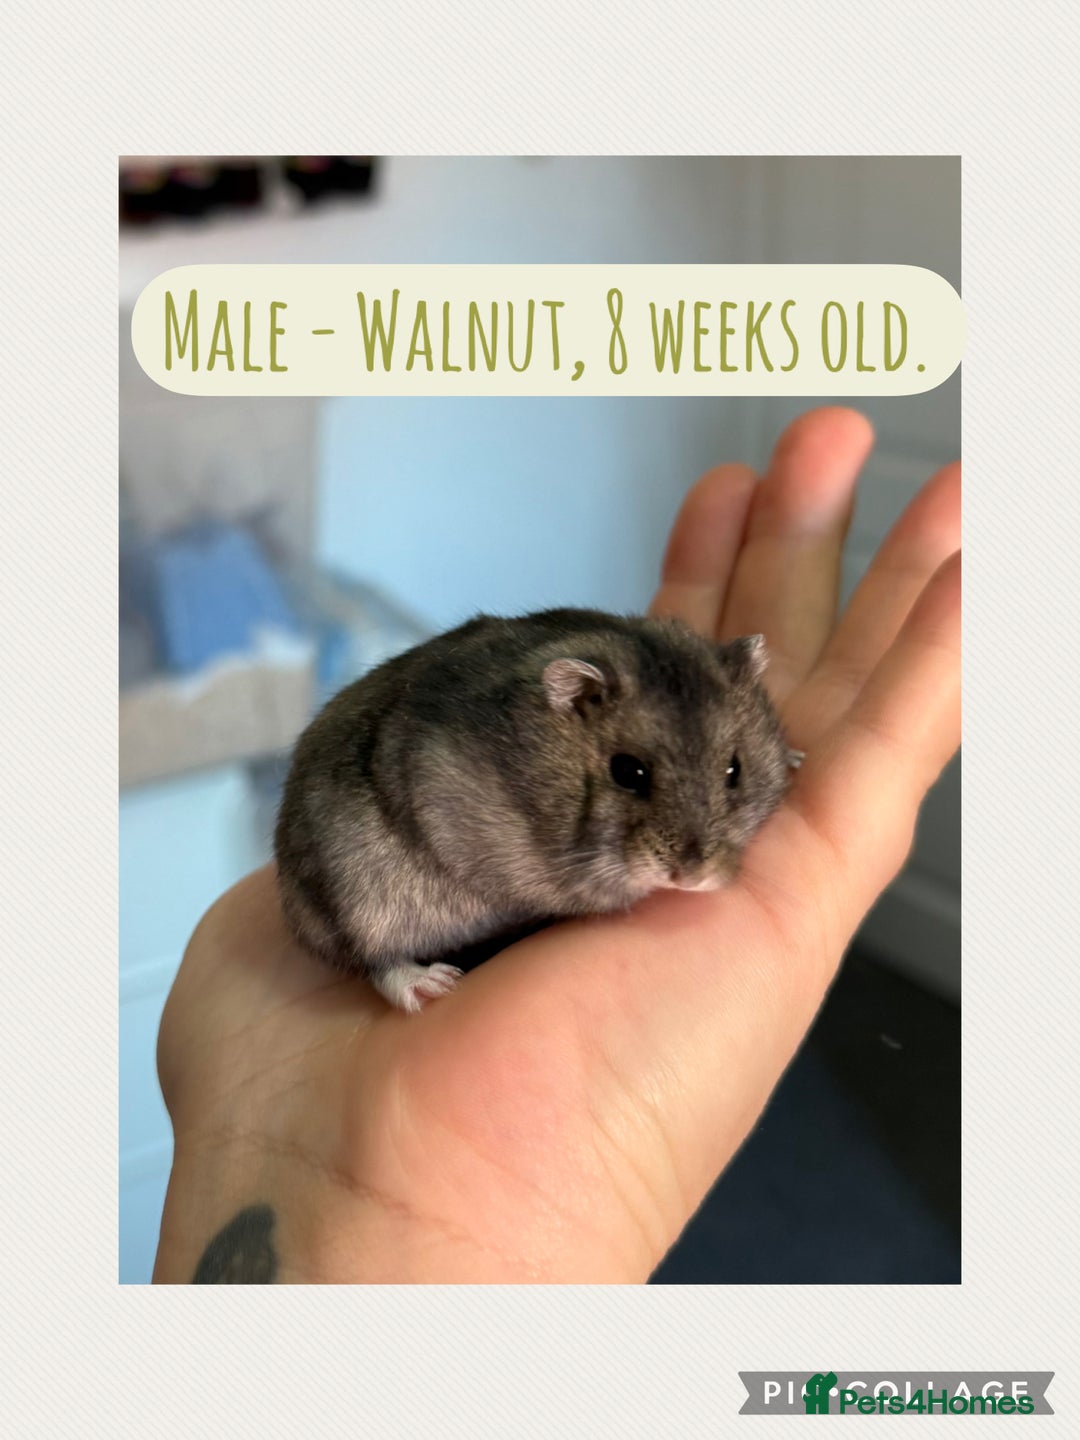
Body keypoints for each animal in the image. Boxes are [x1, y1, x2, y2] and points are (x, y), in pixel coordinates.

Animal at [274, 608, 799, 1013]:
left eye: (734, 769)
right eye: (627, 772)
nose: (692, 878)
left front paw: (794, 758)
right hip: (354, 898)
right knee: (372, 960)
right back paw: (434, 985)